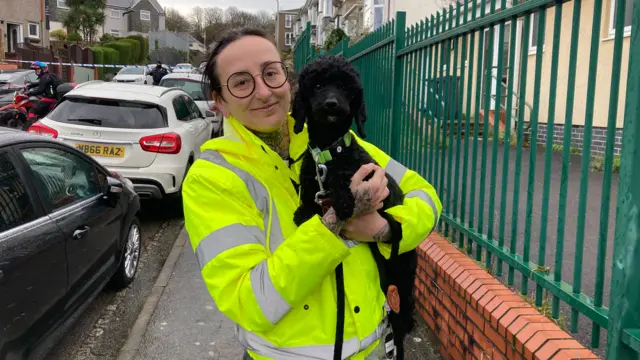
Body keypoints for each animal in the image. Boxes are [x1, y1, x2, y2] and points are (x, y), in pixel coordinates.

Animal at [292, 54, 420, 360]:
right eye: (317, 85)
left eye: (345, 87)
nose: (331, 104)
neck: (329, 154)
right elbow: (308, 202)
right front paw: (304, 211)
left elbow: (345, 182)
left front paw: (342, 196)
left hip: (403, 274)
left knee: (403, 312)